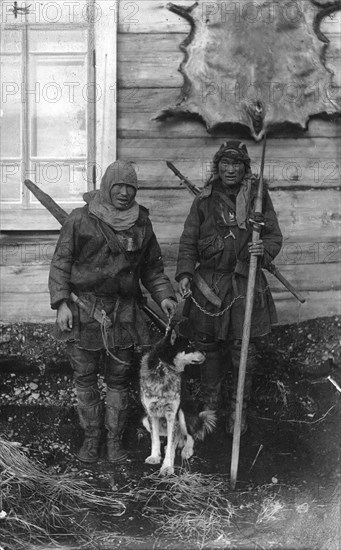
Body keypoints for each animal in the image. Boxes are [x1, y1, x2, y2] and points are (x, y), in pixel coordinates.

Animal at [139, 328, 216, 478]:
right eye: (189, 345)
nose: (205, 353)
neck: (162, 370)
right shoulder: (151, 414)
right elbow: (155, 439)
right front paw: (155, 456)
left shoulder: (172, 414)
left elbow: (171, 444)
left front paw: (167, 467)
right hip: (145, 420)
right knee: (172, 438)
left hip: (183, 413)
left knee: (189, 437)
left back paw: (186, 450)